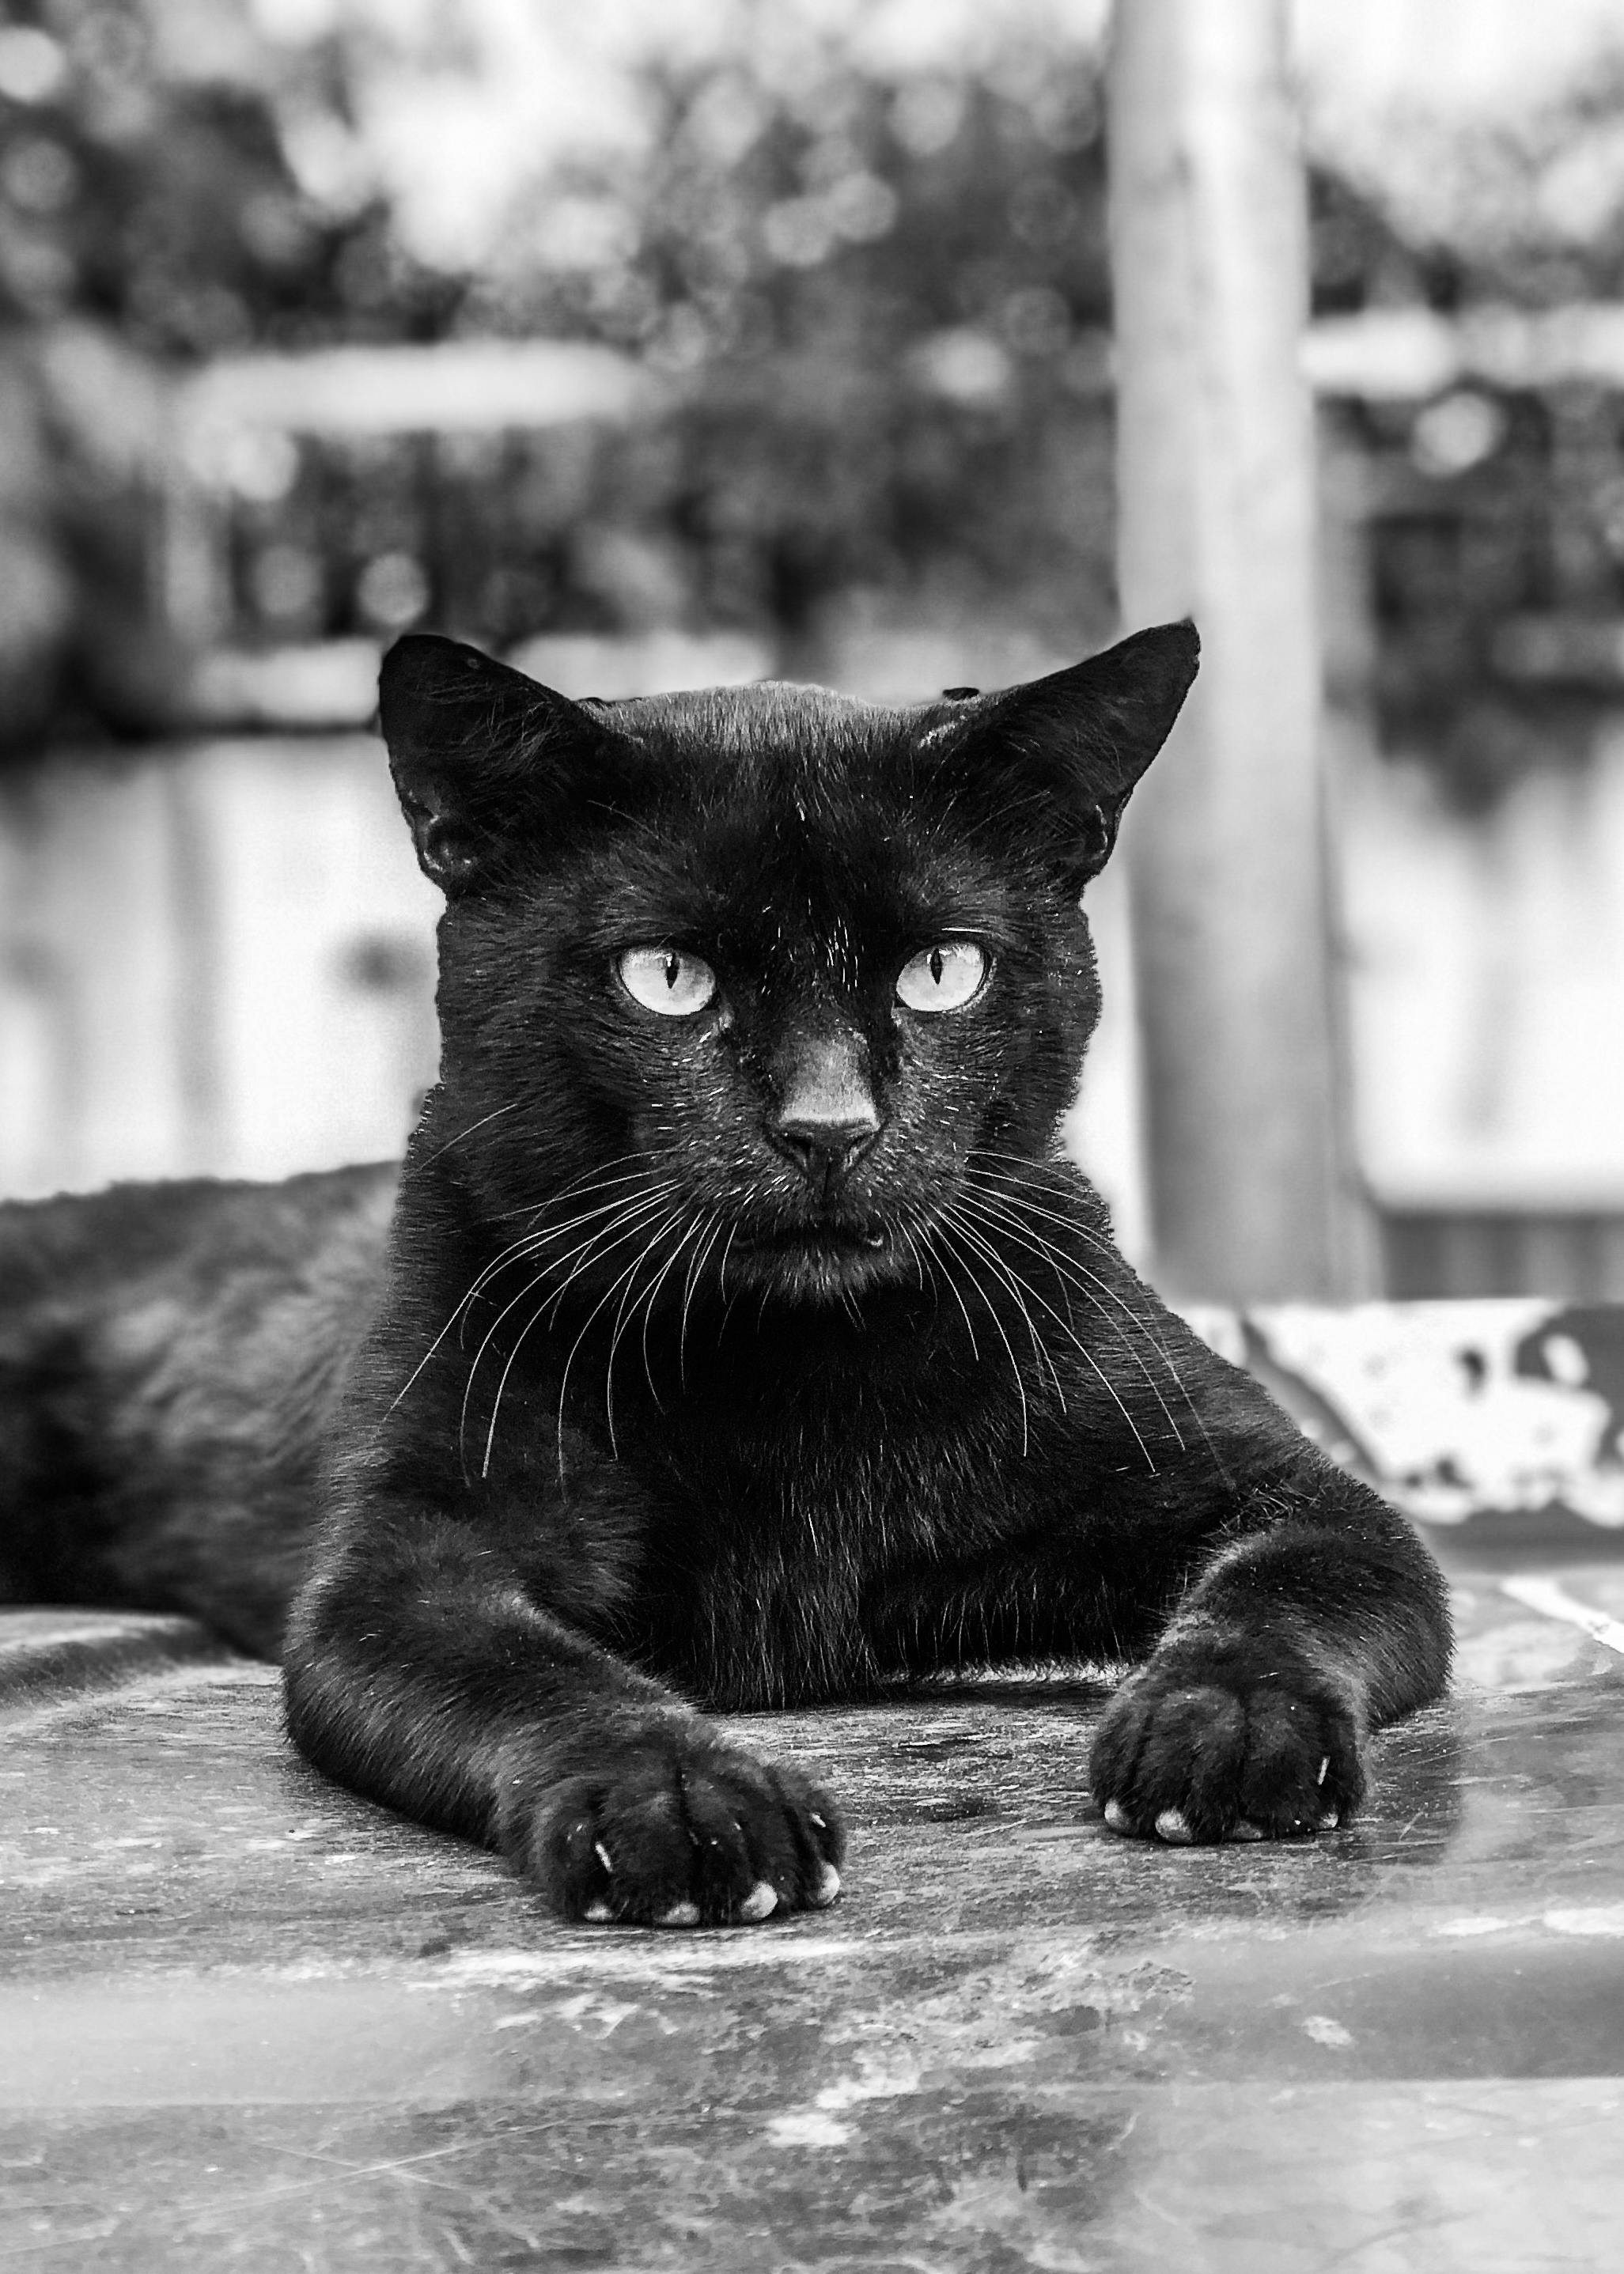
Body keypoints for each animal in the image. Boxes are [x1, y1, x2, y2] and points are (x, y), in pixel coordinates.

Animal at [0, 632, 1446, 1928]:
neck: (782, 1366)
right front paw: (676, 1795)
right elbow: (539, 1676)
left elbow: (1280, 1585)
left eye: (941, 969)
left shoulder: (1282, 1484)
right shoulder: (414, 1564)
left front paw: (1225, 1720)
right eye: (668, 976)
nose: (827, 1127)